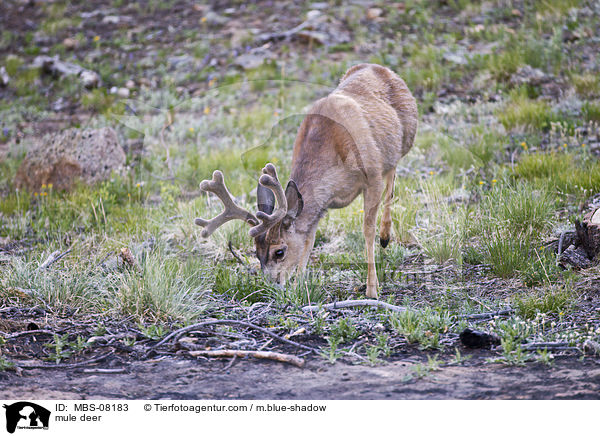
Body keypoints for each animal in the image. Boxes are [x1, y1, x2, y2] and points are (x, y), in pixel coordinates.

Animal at [197, 63, 418, 298]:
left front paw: (372, 289)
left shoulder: (372, 176)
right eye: (256, 253)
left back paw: (385, 236)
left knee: (392, 173)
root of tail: (379, 67)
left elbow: (368, 230)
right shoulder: (321, 204)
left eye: (279, 252)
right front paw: (297, 286)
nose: (272, 285)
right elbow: (308, 240)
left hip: (404, 140)